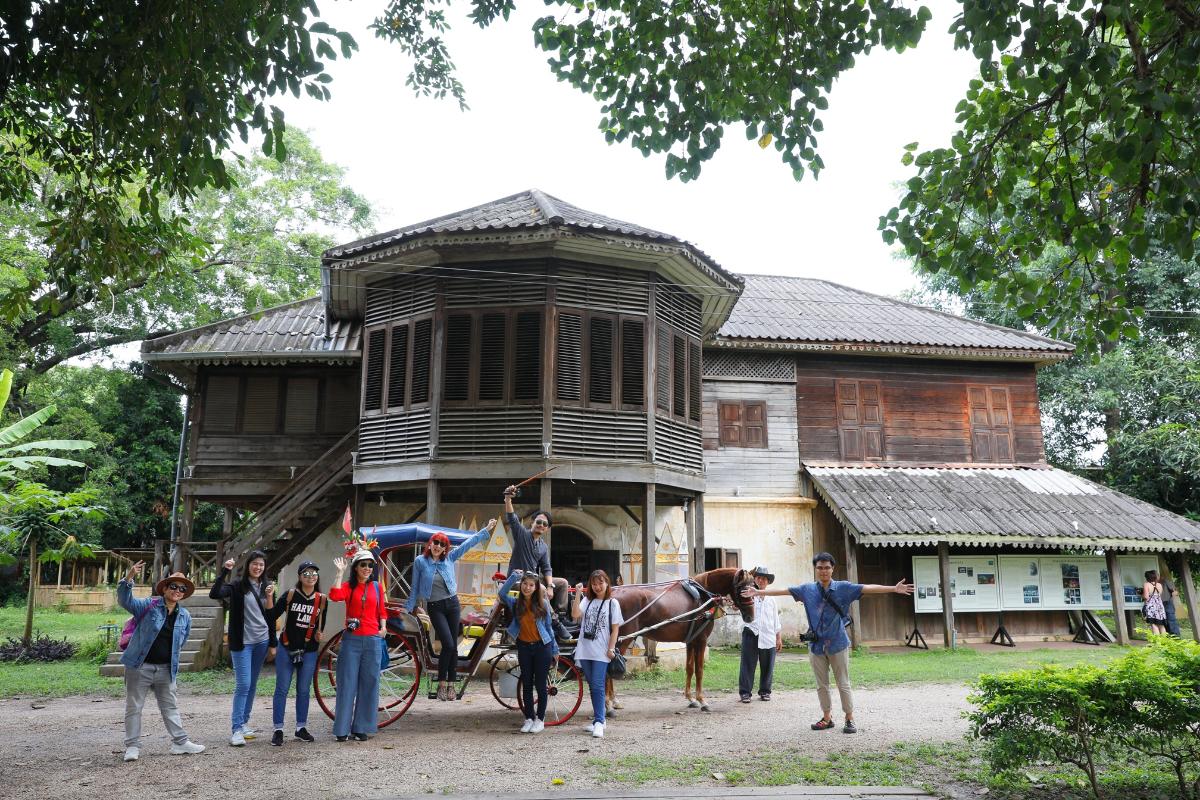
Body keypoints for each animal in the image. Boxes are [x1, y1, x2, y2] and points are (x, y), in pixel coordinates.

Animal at [604, 568, 753, 714]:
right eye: (742, 589)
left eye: (753, 587)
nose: (750, 616)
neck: (703, 594)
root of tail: (612, 594)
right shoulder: (701, 640)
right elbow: (699, 670)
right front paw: (702, 700)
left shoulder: (691, 641)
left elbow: (690, 668)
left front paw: (691, 699)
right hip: (622, 639)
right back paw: (608, 704)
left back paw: (613, 701)